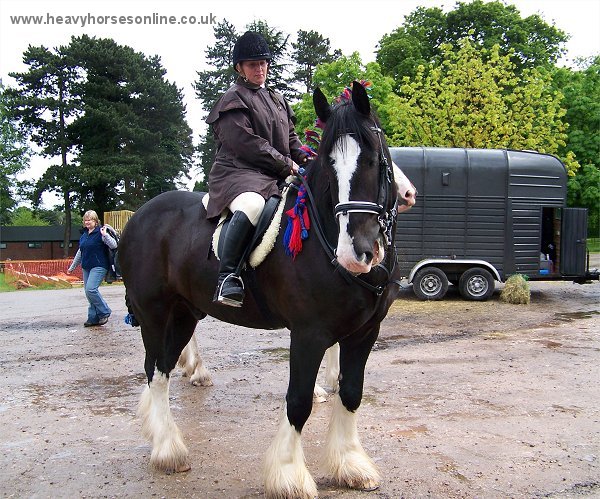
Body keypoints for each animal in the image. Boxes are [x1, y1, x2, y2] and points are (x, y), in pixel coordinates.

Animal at [119, 83, 414, 499]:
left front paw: (350, 465)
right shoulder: (309, 334)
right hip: (154, 314)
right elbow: (299, 402)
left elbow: (351, 393)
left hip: (183, 314)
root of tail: (139, 216)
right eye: (328, 168)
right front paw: (289, 474)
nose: (356, 252)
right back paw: (168, 450)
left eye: (375, 158)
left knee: (163, 366)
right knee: (155, 372)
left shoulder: (364, 333)